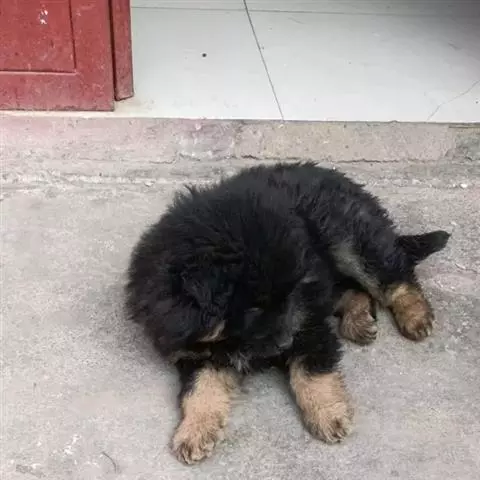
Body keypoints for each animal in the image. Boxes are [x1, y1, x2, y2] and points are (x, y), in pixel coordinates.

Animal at [126, 162, 449, 464]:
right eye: (254, 307)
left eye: (288, 295)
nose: (285, 343)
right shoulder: (196, 354)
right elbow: (198, 391)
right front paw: (194, 432)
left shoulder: (308, 324)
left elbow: (312, 372)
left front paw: (328, 415)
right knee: (354, 290)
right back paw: (357, 322)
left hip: (349, 239)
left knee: (395, 277)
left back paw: (415, 316)